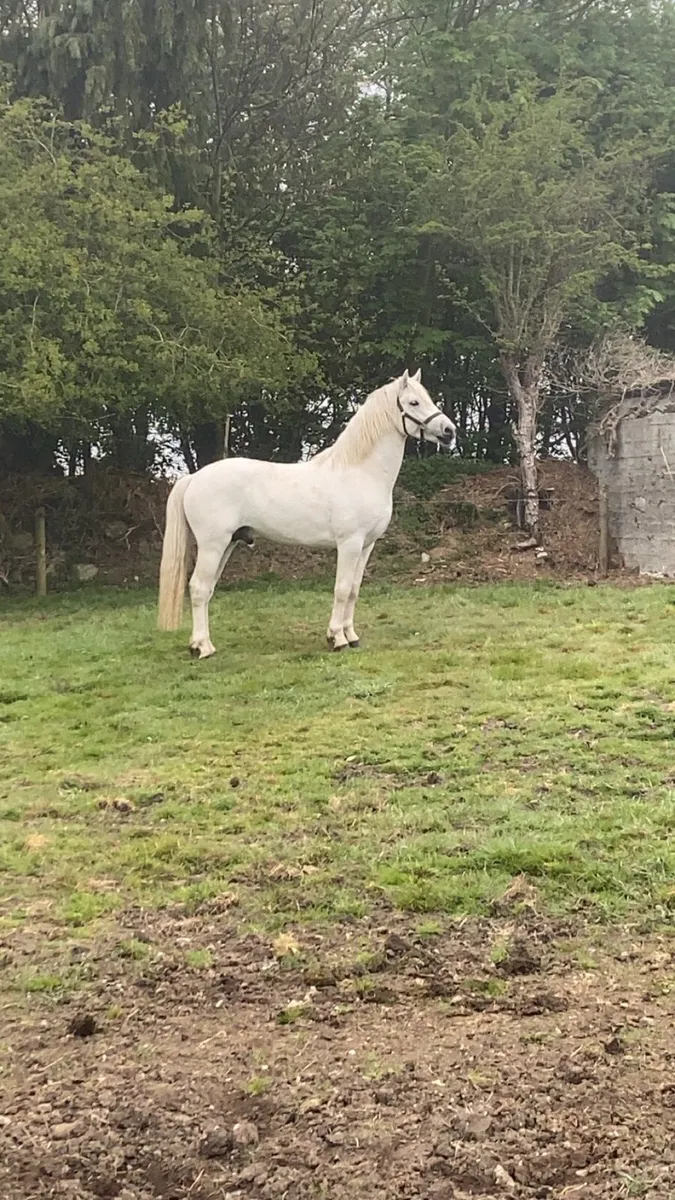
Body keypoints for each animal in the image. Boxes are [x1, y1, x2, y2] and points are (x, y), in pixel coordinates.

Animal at [157, 369, 455, 656]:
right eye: (414, 402)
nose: (449, 431)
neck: (360, 472)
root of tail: (194, 478)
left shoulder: (366, 546)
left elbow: (353, 590)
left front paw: (352, 636)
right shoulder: (349, 544)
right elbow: (341, 589)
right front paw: (337, 639)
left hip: (228, 544)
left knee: (207, 589)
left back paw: (199, 644)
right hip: (213, 545)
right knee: (198, 588)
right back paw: (203, 648)